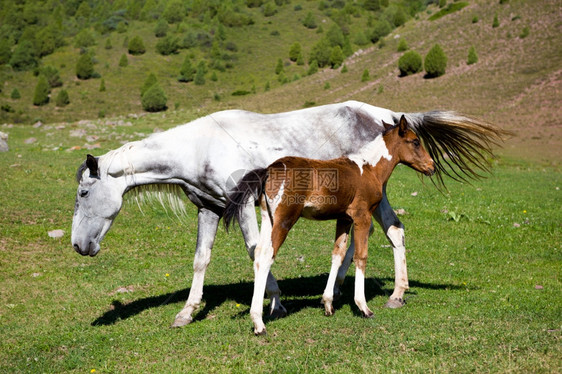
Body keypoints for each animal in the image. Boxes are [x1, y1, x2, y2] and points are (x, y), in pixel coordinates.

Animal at [70, 101, 504, 326]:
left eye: (84, 192)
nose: (78, 245)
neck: (200, 147)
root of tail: (383, 113)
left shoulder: (245, 207)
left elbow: (254, 251)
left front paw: (273, 302)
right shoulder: (210, 208)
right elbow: (200, 259)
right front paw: (188, 311)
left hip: (373, 199)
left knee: (394, 231)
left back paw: (394, 295)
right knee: (355, 243)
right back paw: (340, 292)